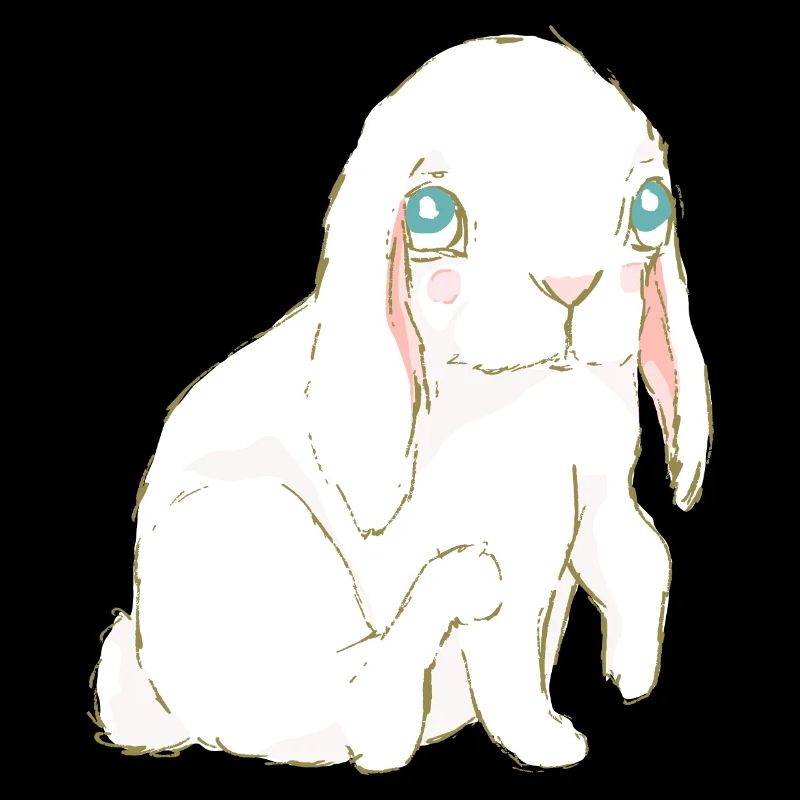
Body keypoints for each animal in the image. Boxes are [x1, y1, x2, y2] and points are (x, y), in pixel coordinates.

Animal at [93, 34, 711, 772]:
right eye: (430, 215)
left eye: (651, 207)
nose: (571, 284)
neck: (532, 397)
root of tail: (160, 705)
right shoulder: (510, 548)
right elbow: (508, 658)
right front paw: (546, 743)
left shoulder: (604, 483)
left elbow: (642, 551)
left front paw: (633, 674)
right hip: (240, 520)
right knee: (371, 719)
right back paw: (455, 588)